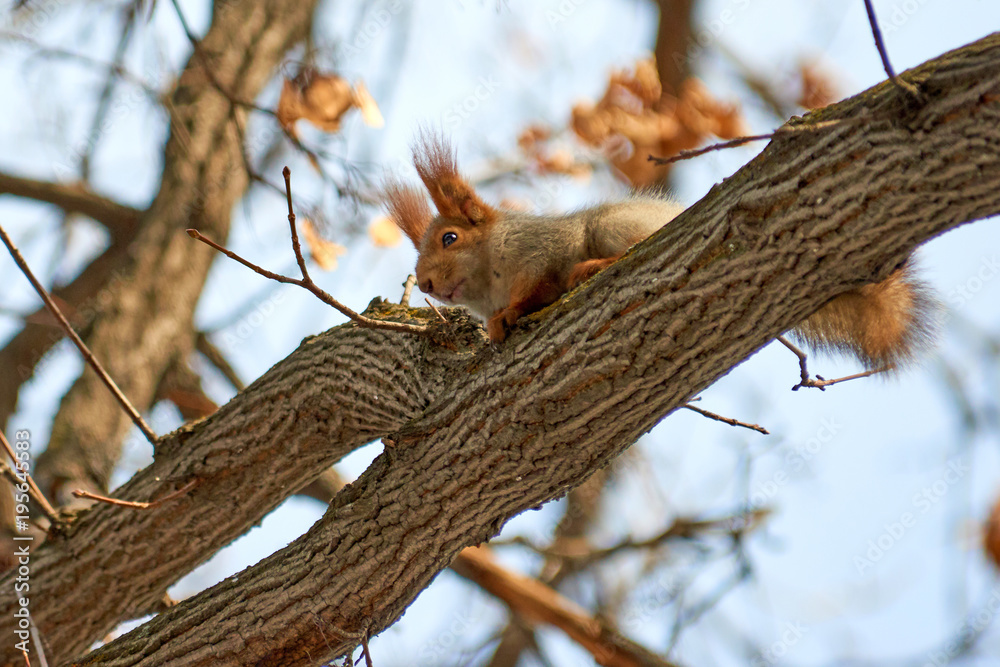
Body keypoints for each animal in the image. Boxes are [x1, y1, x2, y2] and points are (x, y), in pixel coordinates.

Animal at [385, 134, 937, 371]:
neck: (488, 282)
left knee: (619, 254)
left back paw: (592, 269)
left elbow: (538, 285)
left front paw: (509, 317)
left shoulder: (541, 248)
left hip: (612, 225)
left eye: (450, 238)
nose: (426, 283)